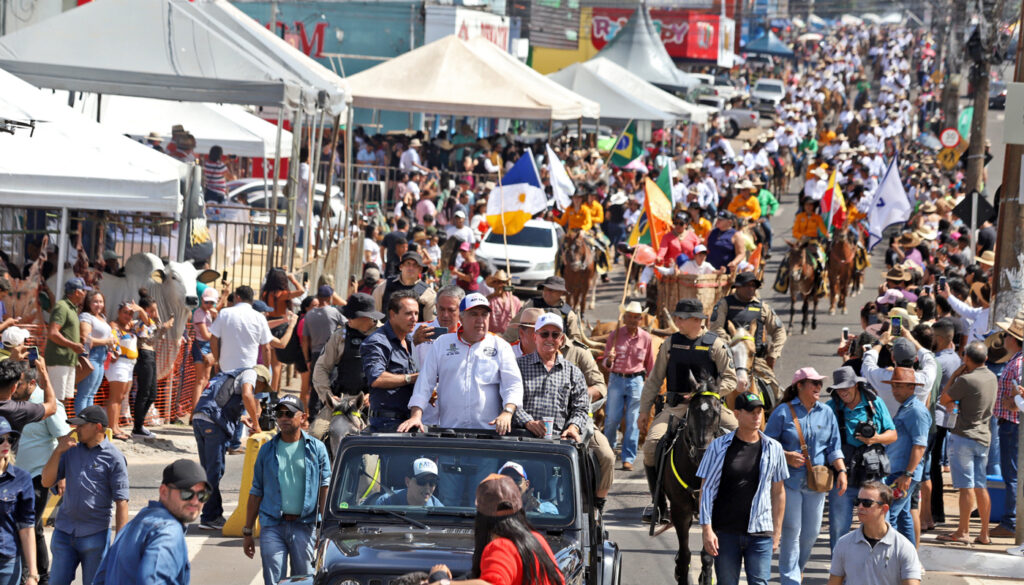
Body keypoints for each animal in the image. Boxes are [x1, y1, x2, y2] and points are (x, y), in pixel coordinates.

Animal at [655, 374, 720, 585]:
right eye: (692, 412)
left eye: (717, 412)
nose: (702, 454)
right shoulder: (680, 510)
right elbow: (685, 555)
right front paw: (682, 572)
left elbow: (707, 554)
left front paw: (706, 576)